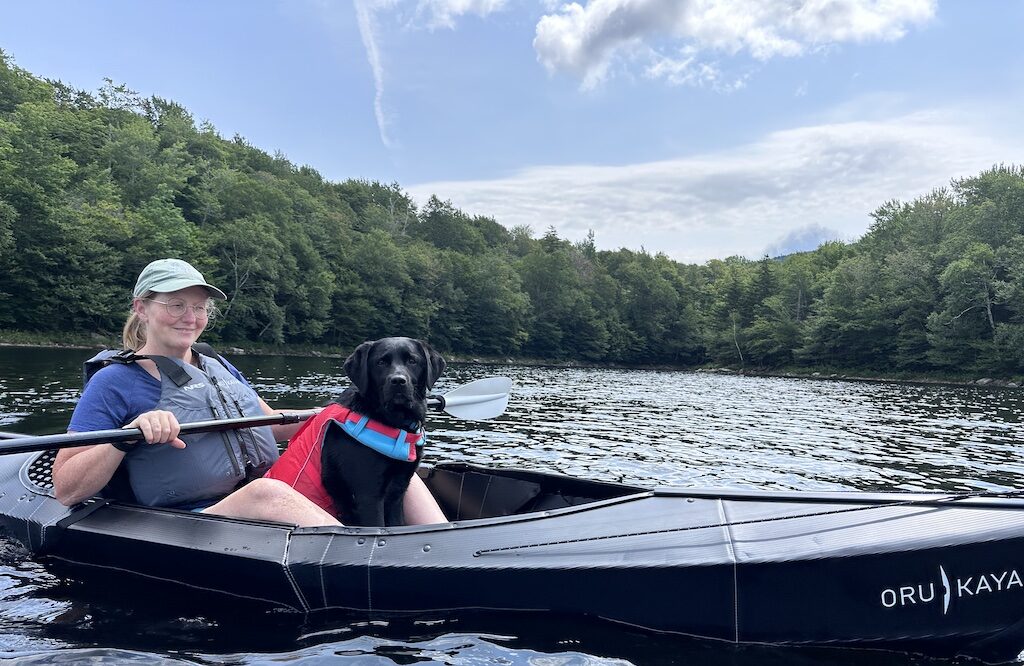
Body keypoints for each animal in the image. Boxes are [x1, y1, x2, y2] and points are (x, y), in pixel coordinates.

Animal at [321, 334, 446, 524]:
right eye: (380, 362)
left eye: (412, 360)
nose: (398, 381)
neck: (395, 422)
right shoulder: (369, 496)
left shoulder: (398, 491)